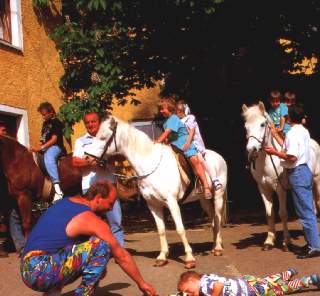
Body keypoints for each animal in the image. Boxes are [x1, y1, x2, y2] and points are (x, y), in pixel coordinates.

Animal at [87, 115, 228, 268]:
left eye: (103, 137)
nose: (87, 157)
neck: (151, 165)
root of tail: (220, 157)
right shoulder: (153, 204)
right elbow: (160, 230)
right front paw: (162, 257)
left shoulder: (172, 202)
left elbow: (180, 229)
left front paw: (189, 258)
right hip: (203, 199)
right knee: (213, 219)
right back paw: (214, 246)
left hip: (218, 196)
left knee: (217, 218)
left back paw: (218, 248)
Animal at [241, 101, 320, 250]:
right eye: (246, 127)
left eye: (262, 124)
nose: (251, 149)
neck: (266, 161)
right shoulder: (263, 188)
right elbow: (269, 213)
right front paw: (269, 241)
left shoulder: (280, 188)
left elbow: (282, 214)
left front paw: (286, 241)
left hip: (317, 182)